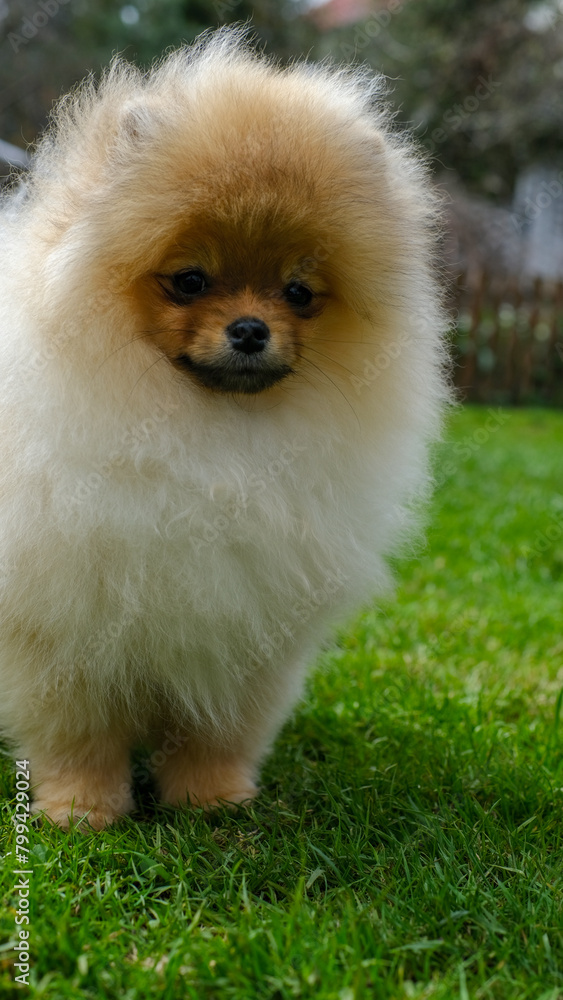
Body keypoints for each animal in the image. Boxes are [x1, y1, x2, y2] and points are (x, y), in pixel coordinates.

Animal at [0, 27, 450, 832]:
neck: (209, 439)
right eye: (190, 281)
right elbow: (78, 732)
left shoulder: (247, 630)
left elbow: (219, 729)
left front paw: (212, 801)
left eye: (298, 293)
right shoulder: (61, 627)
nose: (248, 329)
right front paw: (81, 810)